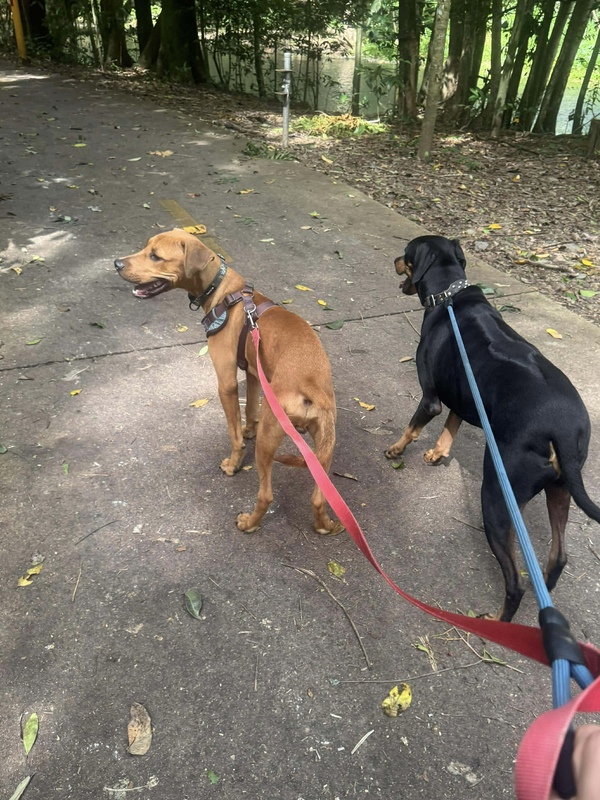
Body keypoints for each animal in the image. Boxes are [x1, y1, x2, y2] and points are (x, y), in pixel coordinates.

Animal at [115, 229, 343, 536]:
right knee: (319, 498)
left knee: (266, 495)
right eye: (146, 247)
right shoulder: (254, 374)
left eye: (155, 256)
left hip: (269, 442)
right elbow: (250, 409)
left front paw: (233, 463)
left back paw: (248, 523)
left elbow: (234, 434)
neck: (223, 291)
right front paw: (248, 429)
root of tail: (311, 389)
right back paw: (325, 526)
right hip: (323, 450)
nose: (116, 263)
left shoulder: (226, 382)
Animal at [385, 234, 600, 621]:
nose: (394, 259)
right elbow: (452, 425)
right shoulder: (465, 393)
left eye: (406, 253)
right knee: (558, 556)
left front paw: (396, 448)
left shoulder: (431, 397)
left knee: (514, 581)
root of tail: (562, 429)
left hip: (498, 496)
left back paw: (499, 623)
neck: (449, 295)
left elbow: (415, 425)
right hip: (561, 488)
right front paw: (438, 453)